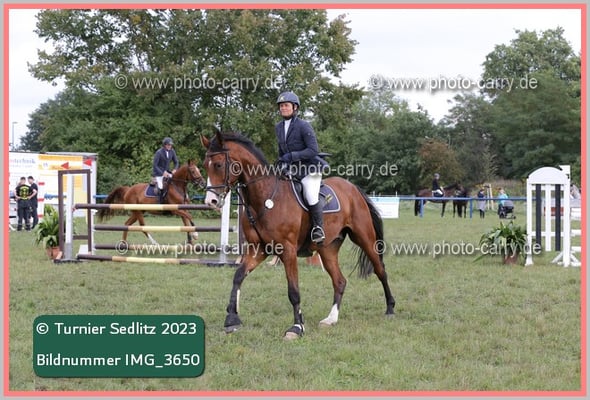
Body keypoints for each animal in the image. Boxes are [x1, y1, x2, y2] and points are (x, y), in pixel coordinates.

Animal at [201, 130, 395, 340]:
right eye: (204, 165)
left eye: (218, 164)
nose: (210, 201)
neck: (265, 199)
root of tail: (353, 188)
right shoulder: (258, 250)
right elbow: (237, 277)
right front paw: (231, 319)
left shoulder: (287, 250)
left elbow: (293, 290)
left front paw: (296, 327)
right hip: (328, 248)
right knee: (340, 281)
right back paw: (331, 319)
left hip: (364, 238)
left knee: (380, 270)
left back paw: (390, 309)